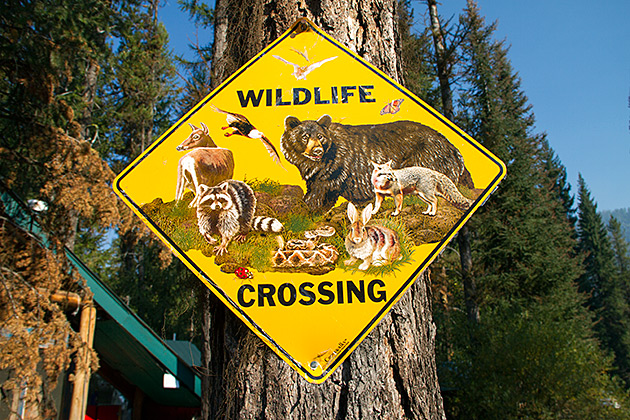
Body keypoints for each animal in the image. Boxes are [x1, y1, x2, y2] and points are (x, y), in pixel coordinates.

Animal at [282, 114, 474, 213]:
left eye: (320, 136)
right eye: (305, 136)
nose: (317, 151)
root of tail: (454, 148)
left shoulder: (334, 168)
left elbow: (317, 194)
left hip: (427, 157)